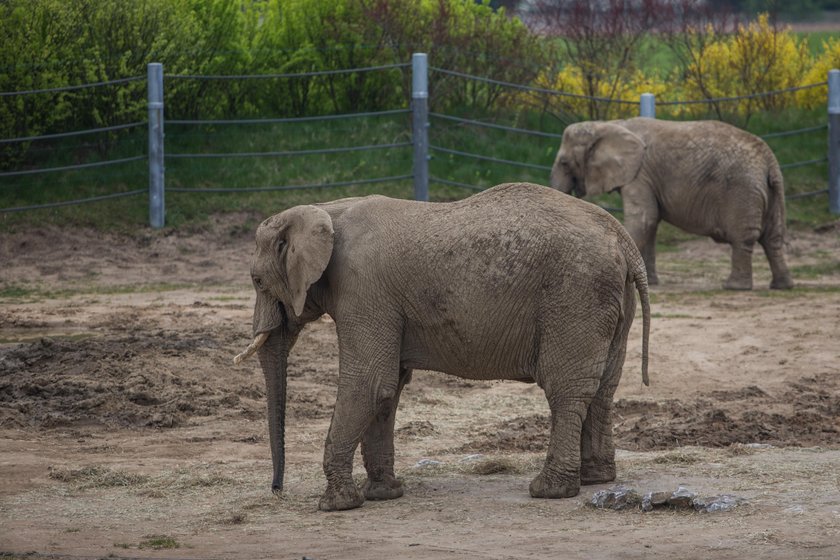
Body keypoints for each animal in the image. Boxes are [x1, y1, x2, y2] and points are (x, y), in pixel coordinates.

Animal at [233, 183, 652, 512]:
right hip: (610, 299)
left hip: (575, 294)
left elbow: (369, 383)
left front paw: (336, 506)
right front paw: (384, 494)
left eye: (257, 280)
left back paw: (549, 491)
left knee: (566, 389)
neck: (325, 209)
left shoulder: (363, 290)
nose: (277, 490)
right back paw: (597, 479)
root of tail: (623, 239)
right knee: (604, 386)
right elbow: (387, 389)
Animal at [552, 115, 796, 288]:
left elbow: (644, 219)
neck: (608, 124)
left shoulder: (640, 174)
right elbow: (650, 223)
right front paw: (651, 282)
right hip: (771, 191)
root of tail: (770, 161)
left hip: (742, 192)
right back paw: (782, 286)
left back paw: (734, 287)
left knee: (743, 238)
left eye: (564, 163)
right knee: (772, 238)